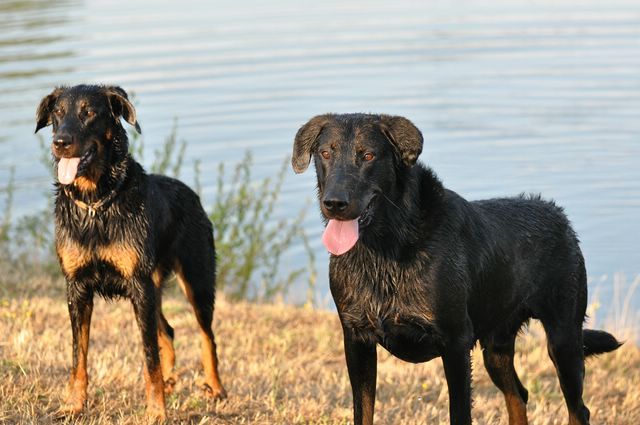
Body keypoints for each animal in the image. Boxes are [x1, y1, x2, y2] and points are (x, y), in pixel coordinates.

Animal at [35, 84, 226, 420]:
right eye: (57, 113)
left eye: (88, 113)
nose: (60, 143)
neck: (96, 205)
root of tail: (192, 194)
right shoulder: (77, 288)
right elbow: (78, 356)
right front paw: (73, 404)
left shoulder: (139, 285)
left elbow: (149, 358)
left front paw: (157, 412)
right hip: (156, 287)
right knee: (168, 331)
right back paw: (172, 381)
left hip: (196, 281)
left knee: (207, 336)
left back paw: (214, 387)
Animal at [292, 113, 624, 424]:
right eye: (325, 153)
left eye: (368, 155)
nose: (334, 203)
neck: (384, 252)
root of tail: (558, 214)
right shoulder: (356, 340)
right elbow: (364, 413)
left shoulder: (456, 344)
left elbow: (460, 414)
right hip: (496, 348)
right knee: (519, 396)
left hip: (564, 340)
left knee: (578, 410)